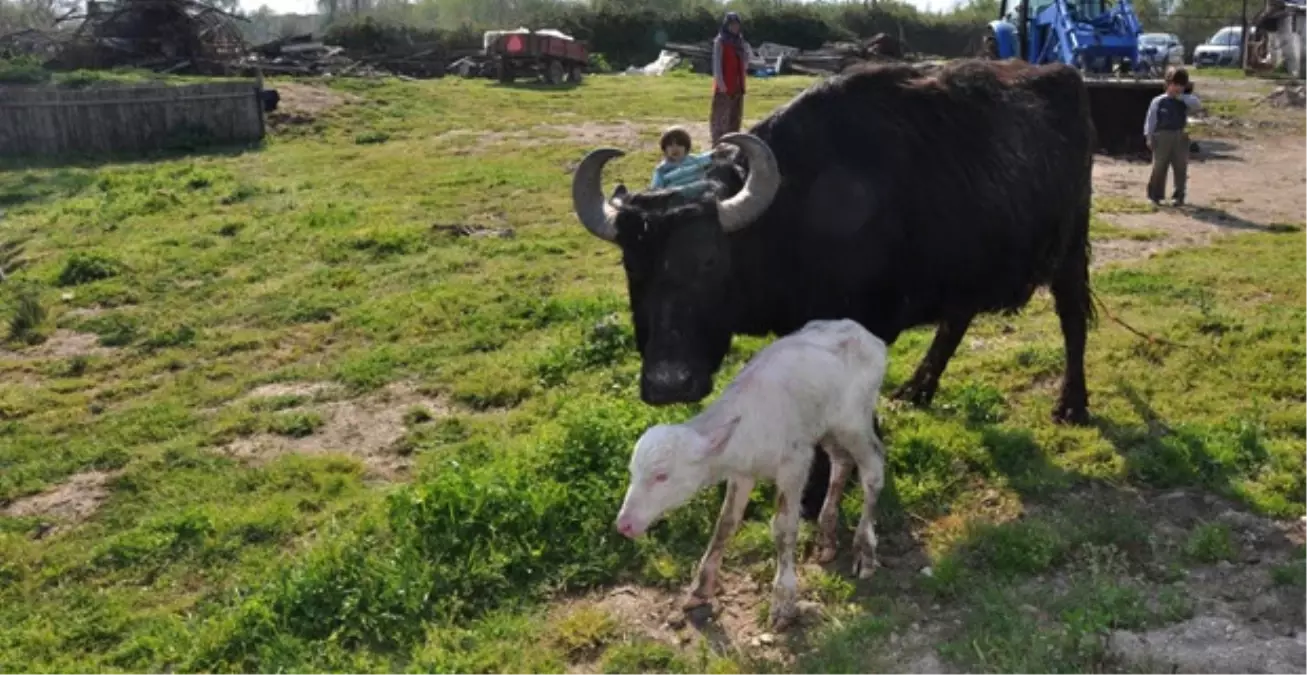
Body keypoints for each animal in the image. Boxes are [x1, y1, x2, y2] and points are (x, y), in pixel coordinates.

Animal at [577, 59, 1097, 523]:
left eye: (709, 260)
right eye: (631, 264)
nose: (669, 383)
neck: (797, 213)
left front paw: (816, 492)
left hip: (1070, 249)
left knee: (1073, 320)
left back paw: (1072, 404)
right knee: (957, 318)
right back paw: (919, 387)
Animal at [611, 319, 888, 630]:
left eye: (661, 476)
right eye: (633, 472)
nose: (624, 525)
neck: (746, 425)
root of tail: (867, 335)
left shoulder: (795, 463)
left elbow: (784, 527)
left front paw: (783, 602)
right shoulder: (742, 474)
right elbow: (725, 524)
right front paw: (701, 588)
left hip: (854, 420)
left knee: (873, 469)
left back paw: (865, 549)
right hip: (827, 426)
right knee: (841, 461)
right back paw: (827, 533)